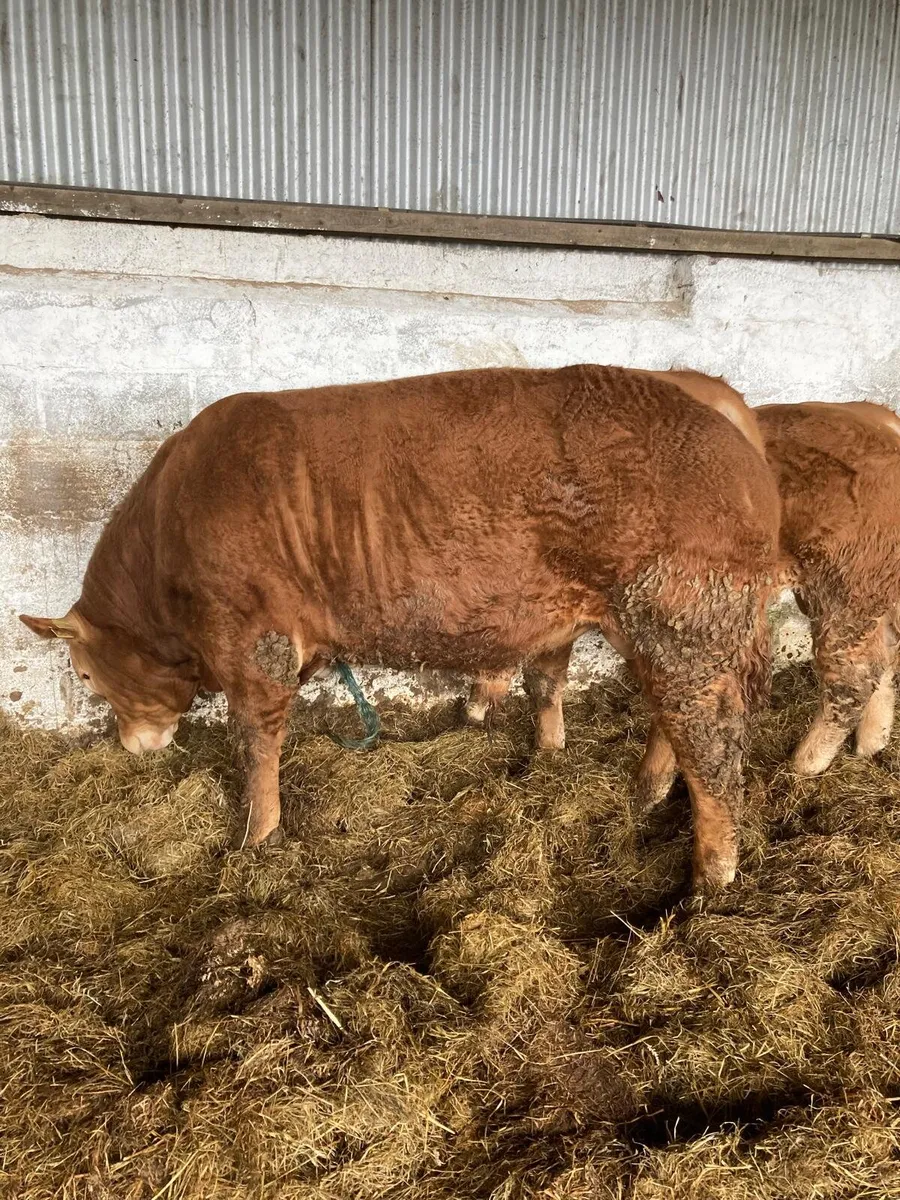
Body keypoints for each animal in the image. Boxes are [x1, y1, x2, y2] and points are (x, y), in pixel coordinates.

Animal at [20, 365, 780, 892]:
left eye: (83, 673)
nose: (131, 746)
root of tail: (729, 431)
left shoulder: (254, 638)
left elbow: (255, 744)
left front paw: (256, 842)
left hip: (683, 616)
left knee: (712, 748)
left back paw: (710, 878)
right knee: (664, 720)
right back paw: (640, 794)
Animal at [468, 386, 900, 806]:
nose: (470, 710)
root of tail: (879, 421)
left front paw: (649, 788)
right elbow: (544, 679)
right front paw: (548, 750)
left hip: (845, 587)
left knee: (853, 677)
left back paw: (803, 764)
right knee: (885, 657)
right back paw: (870, 745)